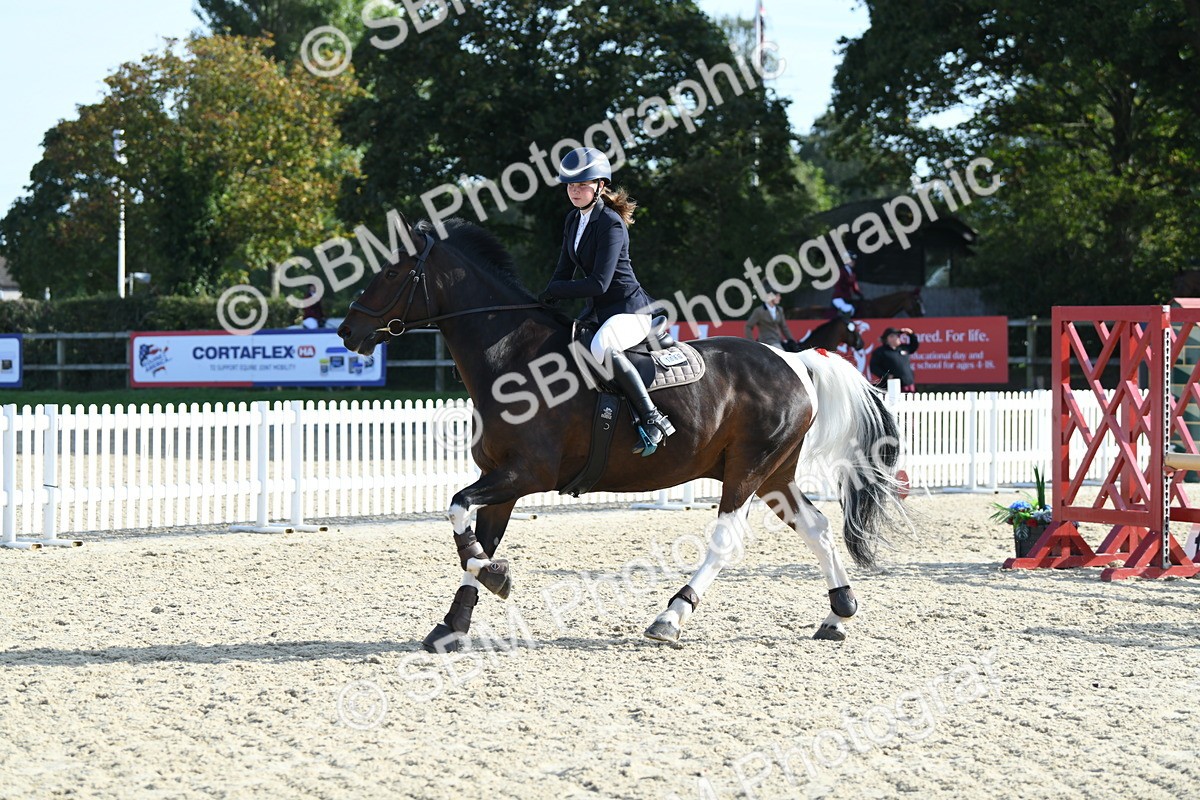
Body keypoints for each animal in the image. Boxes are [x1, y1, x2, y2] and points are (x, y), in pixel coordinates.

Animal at [337, 216, 905, 650]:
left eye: (392, 272)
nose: (346, 331)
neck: (513, 359)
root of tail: (793, 359)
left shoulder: (526, 474)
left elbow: (457, 509)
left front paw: (495, 578)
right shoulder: (501, 479)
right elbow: (476, 537)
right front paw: (456, 620)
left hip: (748, 471)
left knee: (725, 541)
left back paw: (670, 618)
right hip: (774, 474)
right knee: (817, 527)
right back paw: (838, 613)